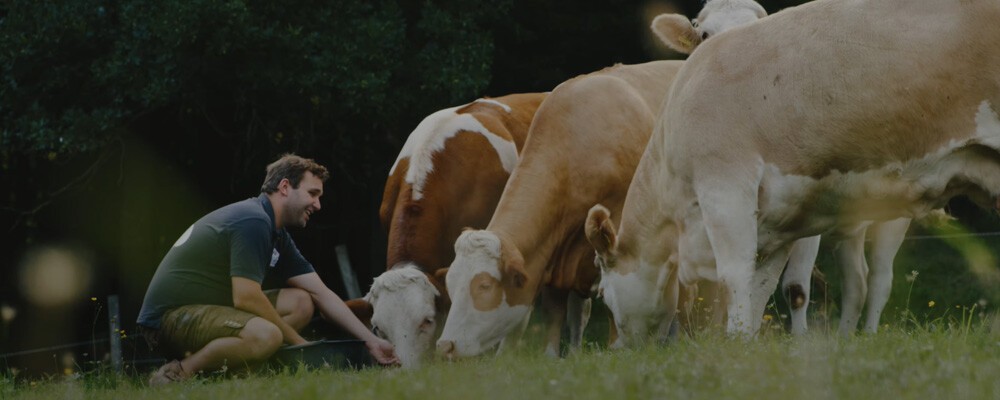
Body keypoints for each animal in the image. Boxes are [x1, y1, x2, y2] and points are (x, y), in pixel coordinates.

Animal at [586, 0, 1000, 339]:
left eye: (602, 294)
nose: (623, 348)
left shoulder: (726, 188)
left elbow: (737, 279)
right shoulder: (776, 223)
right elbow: (759, 289)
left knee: (881, 279)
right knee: (859, 280)